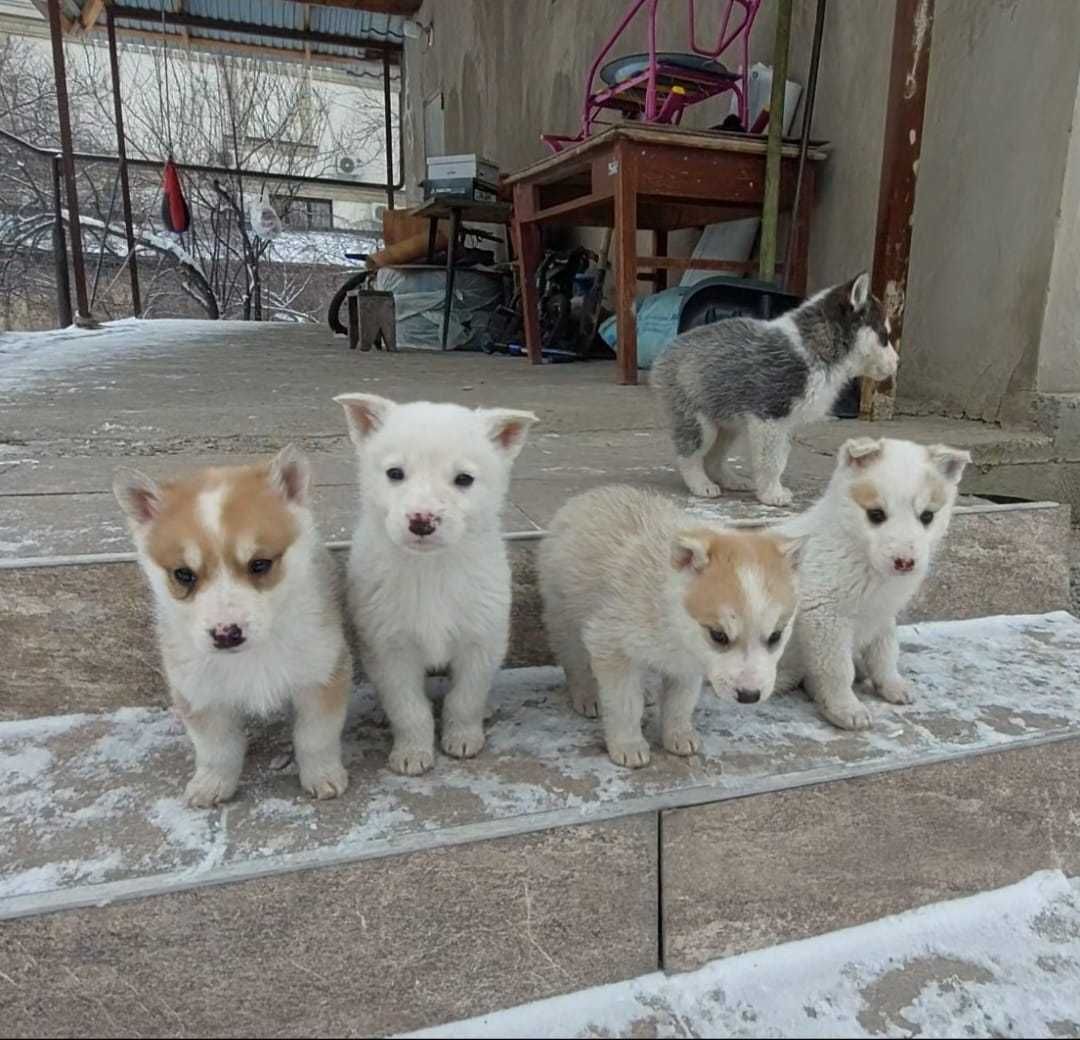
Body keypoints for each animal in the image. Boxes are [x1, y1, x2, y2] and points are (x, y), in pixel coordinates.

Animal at [114, 444, 352, 803]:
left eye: (260, 564)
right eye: (183, 574)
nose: (226, 634)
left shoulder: (321, 676)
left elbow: (315, 737)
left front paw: (322, 776)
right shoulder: (200, 692)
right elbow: (217, 749)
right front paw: (212, 784)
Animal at [334, 395, 537, 777]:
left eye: (464, 479)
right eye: (395, 473)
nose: (422, 522)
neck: (430, 570)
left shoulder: (481, 641)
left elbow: (465, 697)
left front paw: (463, 738)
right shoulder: (389, 649)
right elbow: (409, 708)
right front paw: (412, 752)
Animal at [537, 483, 799, 768]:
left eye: (775, 636)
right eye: (718, 636)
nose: (749, 696)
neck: (673, 620)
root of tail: (592, 493)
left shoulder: (689, 663)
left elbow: (680, 702)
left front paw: (678, 734)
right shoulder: (610, 643)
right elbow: (624, 702)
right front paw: (628, 744)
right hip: (563, 614)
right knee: (573, 658)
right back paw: (586, 695)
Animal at [652, 274, 898, 505]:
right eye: (885, 337)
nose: (898, 362)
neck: (813, 347)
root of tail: (668, 348)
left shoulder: (786, 423)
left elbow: (780, 458)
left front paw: (771, 489)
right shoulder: (770, 417)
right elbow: (772, 461)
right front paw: (772, 494)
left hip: (727, 424)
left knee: (714, 457)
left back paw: (730, 479)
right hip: (700, 423)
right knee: (689, 455)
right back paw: (700, 483)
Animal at [777, 434, 972, 730]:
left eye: (927, 516)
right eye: (876, 515)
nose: (905, 562)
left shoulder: (883, 615)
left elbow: (885, 652)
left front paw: (891, 684)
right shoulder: (826, 618)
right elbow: (838, 669)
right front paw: (845, 707)